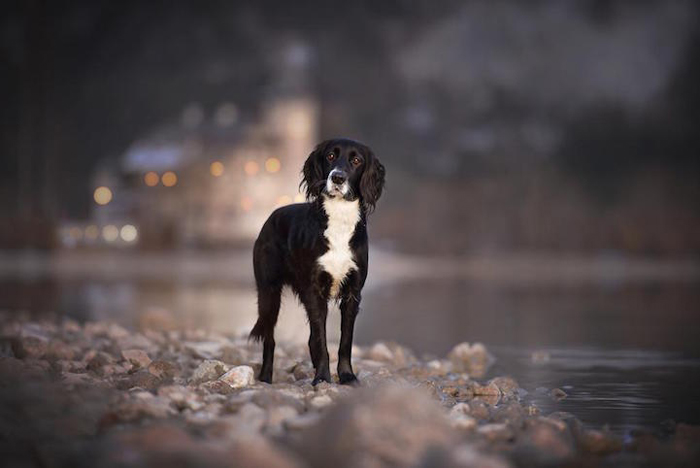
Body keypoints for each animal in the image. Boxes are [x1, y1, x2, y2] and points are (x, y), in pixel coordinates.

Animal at [249, 138, 386, 384]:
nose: (338, 177)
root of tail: (270, 217)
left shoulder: (353, 293)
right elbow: (322, 340)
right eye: (331, 156)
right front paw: (322, 377)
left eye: (356, 160)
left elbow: (344, 341)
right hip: (268, 292)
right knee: (269, 338)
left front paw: (347, 376)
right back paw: (265, 378)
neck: (339, 219)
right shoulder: (314, 291)